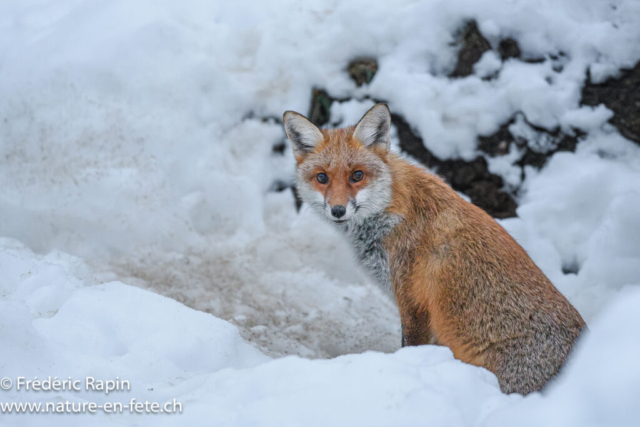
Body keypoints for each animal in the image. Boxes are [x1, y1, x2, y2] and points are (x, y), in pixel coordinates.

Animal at [282, 103, 586, 395]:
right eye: (322, 178)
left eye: (357, 175)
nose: (338, 210)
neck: (393, 212)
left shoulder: (413, 303)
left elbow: (410, 347)